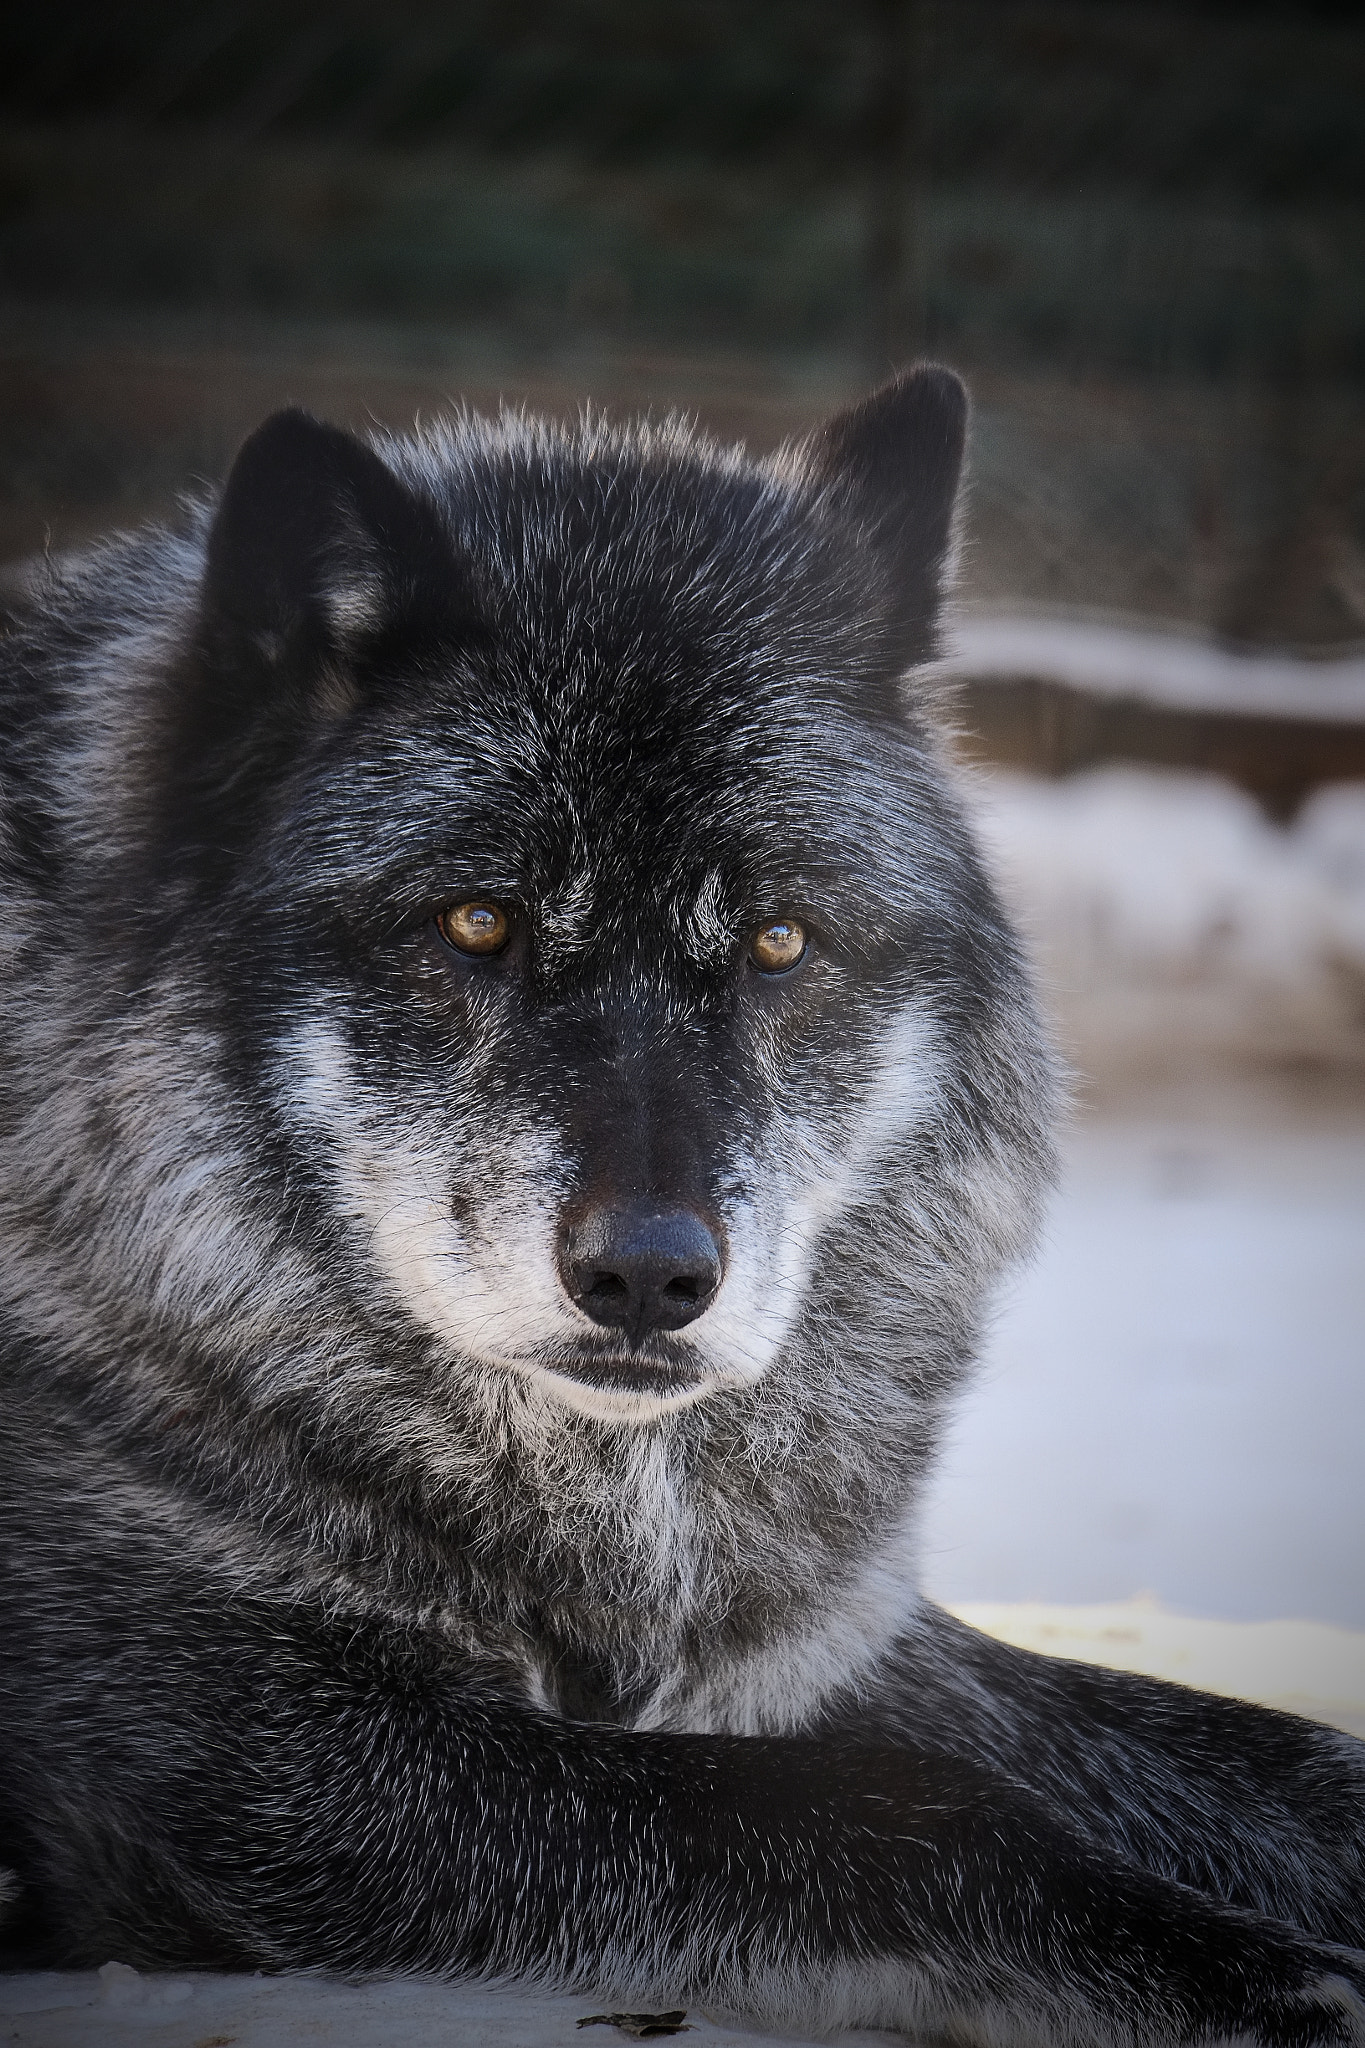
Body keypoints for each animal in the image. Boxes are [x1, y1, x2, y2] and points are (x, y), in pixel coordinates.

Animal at [0, 372, 1358, 2048]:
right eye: (479, 921)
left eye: (779, 941)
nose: (648, 1277)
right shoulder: (266, 1760)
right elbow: (885, 1809)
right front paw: (1235, 1965)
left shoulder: (803, 1637)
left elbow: (1256, 1753)